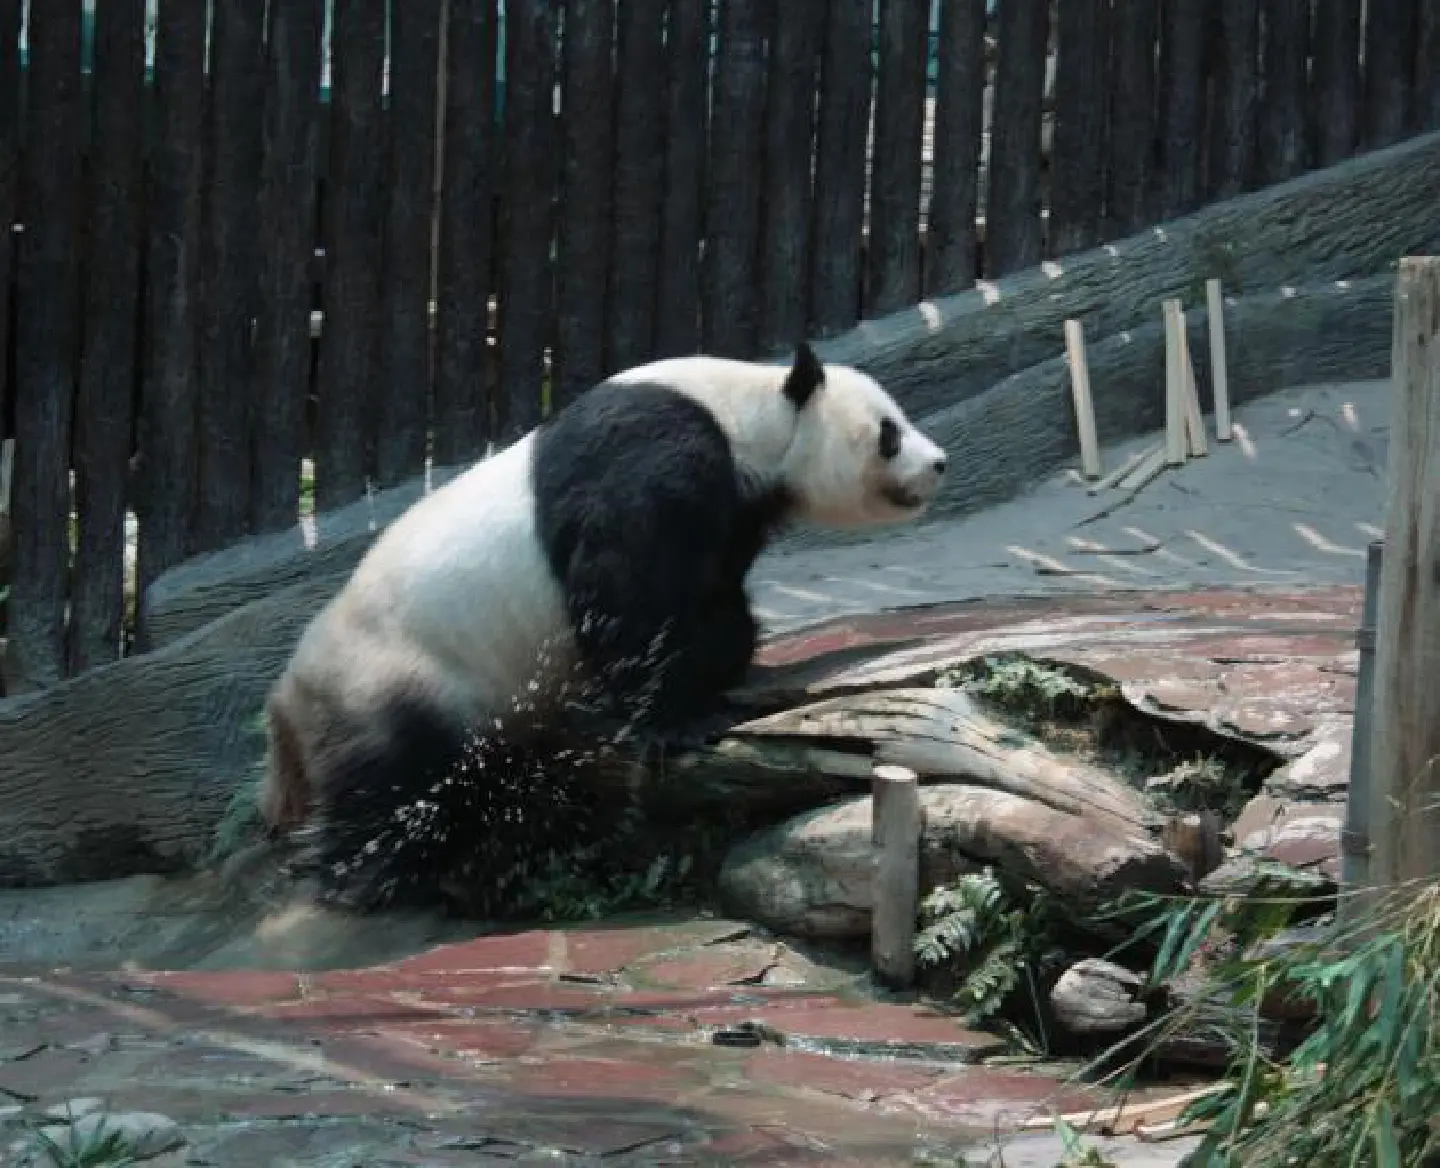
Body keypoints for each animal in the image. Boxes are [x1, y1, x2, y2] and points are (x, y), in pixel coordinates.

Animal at [258, 342, 948, 912]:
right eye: (889, 431)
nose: (939, 463)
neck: (748, 412)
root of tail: (284, 702)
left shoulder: (732, 512)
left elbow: (708, 598)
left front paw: (726, 658)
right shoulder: (655, 454)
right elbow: (625, 589)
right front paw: (681, 720)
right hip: (395, 679)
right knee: (394, 788)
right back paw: (375, 878)